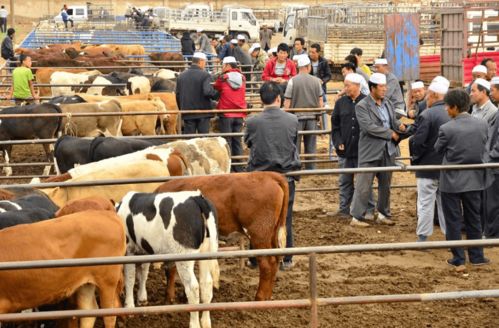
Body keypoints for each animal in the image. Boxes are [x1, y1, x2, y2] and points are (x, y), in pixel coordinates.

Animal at [118, 190, 220, 328]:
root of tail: (197, 197)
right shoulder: (144, 251)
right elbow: (143, 274)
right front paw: (142, 299)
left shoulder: (129, 250)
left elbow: (130, 278)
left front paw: (129, 307)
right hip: (206, 252)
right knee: (206, 284)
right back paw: (205, 322)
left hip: (184, 255)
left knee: (193, 288)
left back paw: (194, 324)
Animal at [155, 172, 290, 302]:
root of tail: (268, 175)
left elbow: (170, 269)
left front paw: (169, 298)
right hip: (272, 233)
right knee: (275, 260)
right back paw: (268, 296)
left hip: (259, 233)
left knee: (267, 264)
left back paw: (259, 298)